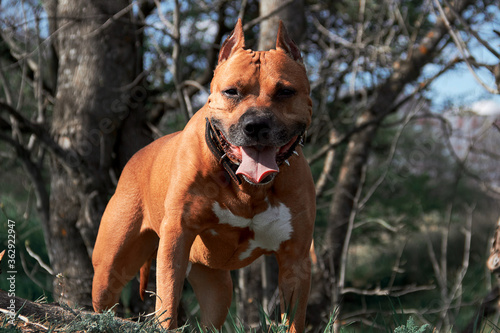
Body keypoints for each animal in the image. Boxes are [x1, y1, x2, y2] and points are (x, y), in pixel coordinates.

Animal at [92, 19, 314, 330]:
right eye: (232, 91)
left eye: (285, 91)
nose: (256, 125)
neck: (246, 187)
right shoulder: (176, 238)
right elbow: (168, 300)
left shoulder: (295, 260)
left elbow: (295, 320)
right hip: (110, 266)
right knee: (105, 295)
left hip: (217, 287)